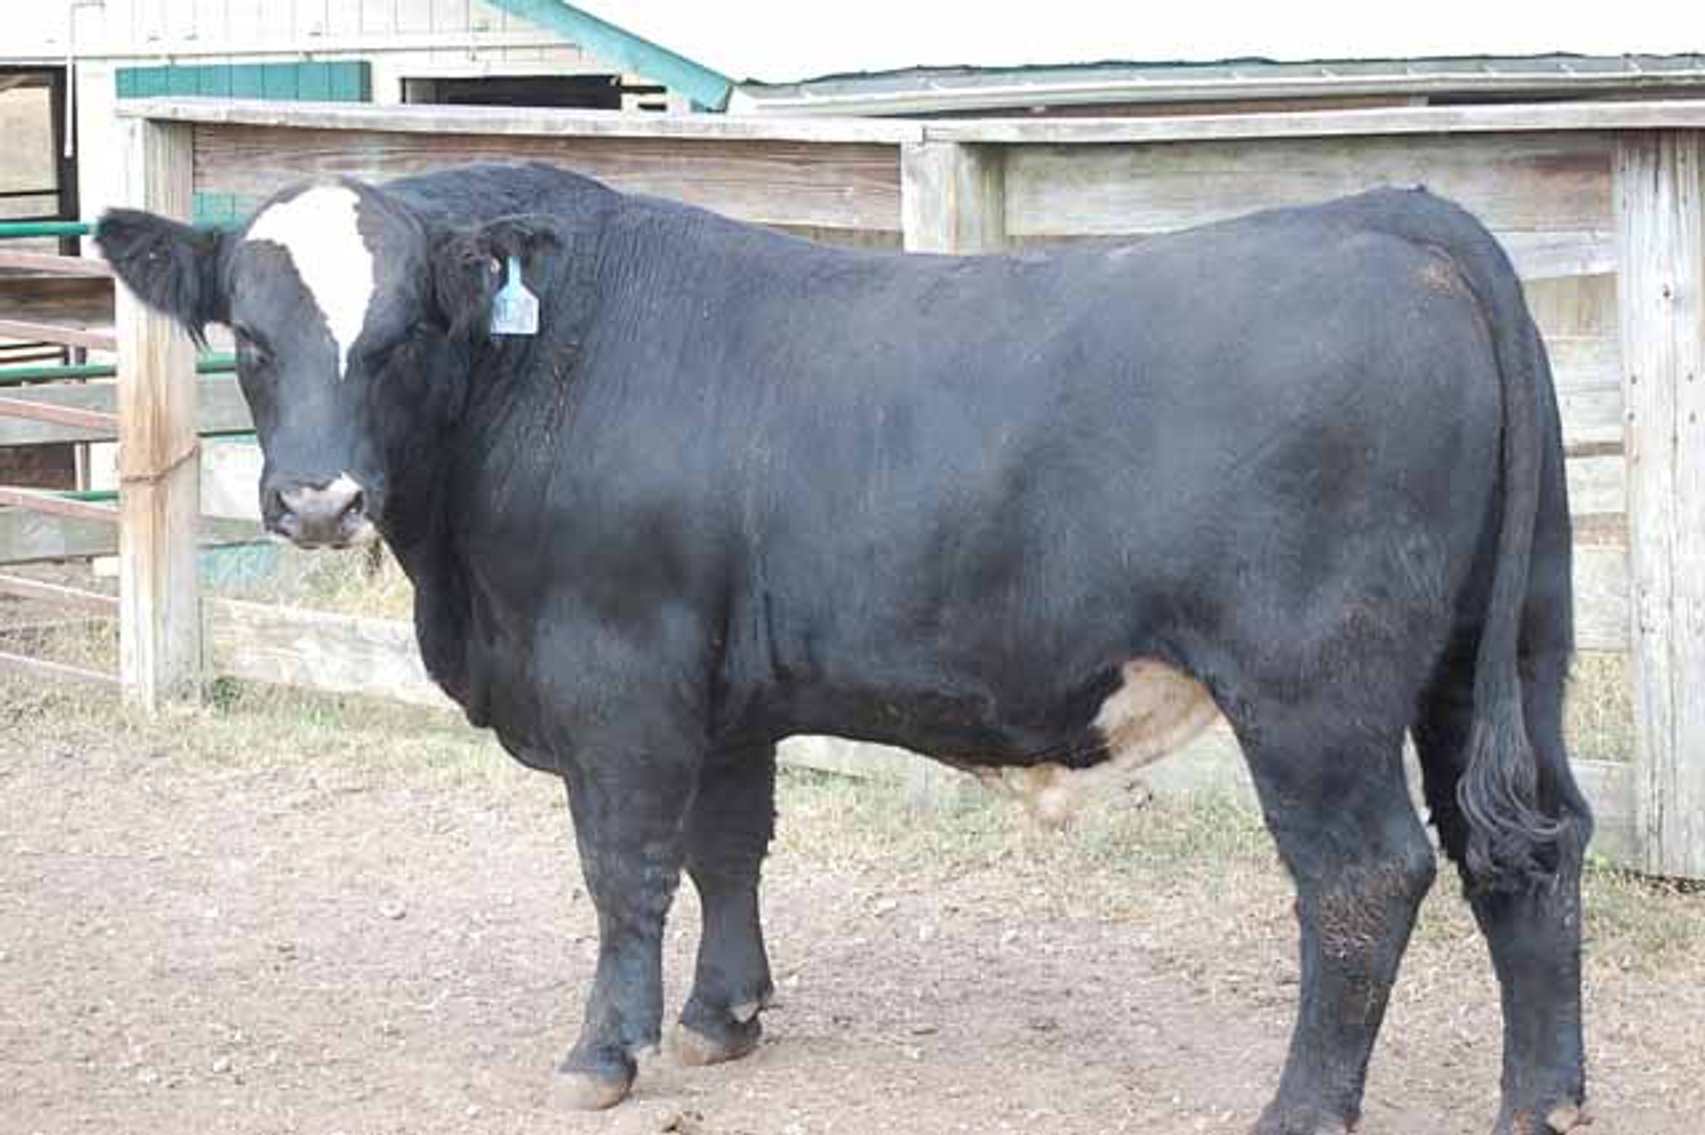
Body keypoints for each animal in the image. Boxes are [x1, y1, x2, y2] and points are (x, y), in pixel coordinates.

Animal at [97, 162, 1592, 1134]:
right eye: (247, 337)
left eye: (402, 333)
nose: (315, 501)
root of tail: (1395, 215)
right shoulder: (722, 689)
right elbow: (727, 848)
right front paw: (723, 1017)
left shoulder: (619, 672)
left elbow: (625, 867)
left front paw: (606, 1048)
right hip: (1505, 651)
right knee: (1529, 847)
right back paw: (1543, 1100)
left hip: (1314, 688)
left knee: (1364, 878)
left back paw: (1299, 1108)